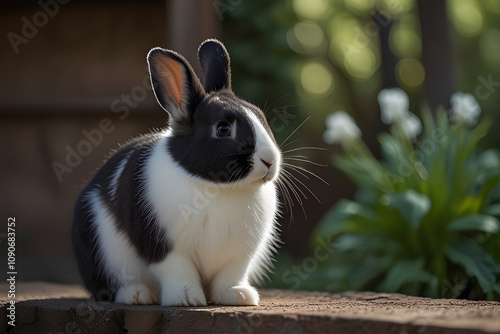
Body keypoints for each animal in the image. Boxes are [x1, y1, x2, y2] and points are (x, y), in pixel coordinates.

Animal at [71, 38, 282, 306]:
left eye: (261, 117)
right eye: (223, 129)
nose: (270, 160)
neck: (216, 189)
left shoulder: (239, 255)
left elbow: (230, 275)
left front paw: (239, 296)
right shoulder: (165, 247)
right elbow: (179, 271)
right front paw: (186, 299)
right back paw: (138, 295)